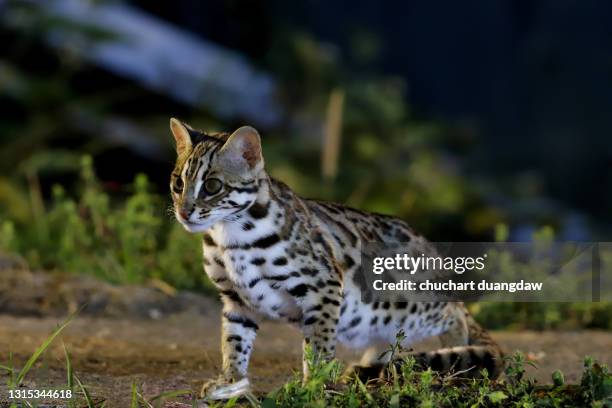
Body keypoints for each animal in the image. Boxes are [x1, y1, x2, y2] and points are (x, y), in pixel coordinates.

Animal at [167, 118, 502, 398]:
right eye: (178, 183)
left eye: (212, 186)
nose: (184, 212)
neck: (229, 238)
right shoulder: (236, 300)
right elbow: (233, 343)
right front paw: (231, 382)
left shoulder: (323, 287)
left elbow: (318, 346)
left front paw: (314, 386)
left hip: (405, 303)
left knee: (454, 314)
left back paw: (452, 351)